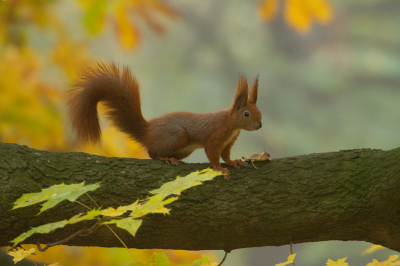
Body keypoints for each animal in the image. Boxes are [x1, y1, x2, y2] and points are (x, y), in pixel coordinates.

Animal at [69, 62, 262, 179]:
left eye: (259, 111)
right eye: (246, 114)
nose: (260, 124)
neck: (230, 124)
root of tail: (147, 131)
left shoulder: (228, 142)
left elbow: (225, 154)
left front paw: (233, 162)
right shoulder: (215, 136)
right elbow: (213, 154)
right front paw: (221, 169)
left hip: (184, 148)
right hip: (176, 136)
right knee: (151, 152)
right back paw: (165, 158)